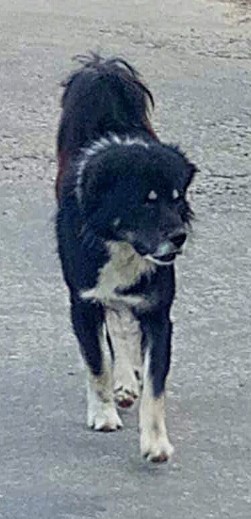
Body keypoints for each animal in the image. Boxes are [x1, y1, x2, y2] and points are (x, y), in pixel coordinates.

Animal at [55, 55, 196, 464]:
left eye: (177, 198)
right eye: (146, 202)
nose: (179, 236)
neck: (123, 246)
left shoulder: (158, 313)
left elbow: (155, 387)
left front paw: (155, 442)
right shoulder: (83, 302)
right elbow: (97, 362)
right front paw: (103, 413)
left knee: (124, 329)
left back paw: (127, 383)